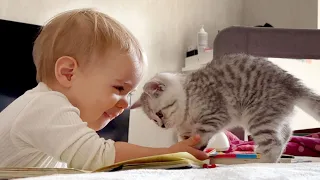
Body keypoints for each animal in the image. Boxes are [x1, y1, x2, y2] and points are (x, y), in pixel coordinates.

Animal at [130, 53, 320, 163]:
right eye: (154, 120)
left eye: (160, 114)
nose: (162, 125)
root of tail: (291, 82)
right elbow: (185, 139)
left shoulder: (214, 113)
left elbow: (201, 135)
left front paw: (195, 148)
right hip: (273, 117)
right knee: (287, 133)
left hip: (258, 116)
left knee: (274, 144)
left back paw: (264, 164)